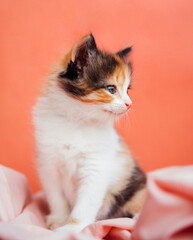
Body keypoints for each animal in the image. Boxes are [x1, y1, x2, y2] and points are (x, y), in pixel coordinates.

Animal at [32, 34, 146, 232]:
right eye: (111, 89)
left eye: (127, 90)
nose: (129, 104)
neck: (77, 121)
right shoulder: (48, 165)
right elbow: (56, 198)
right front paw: (59, 220)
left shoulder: (96, 166)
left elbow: (86, 202)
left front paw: (71, 228)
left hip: (134, 186)